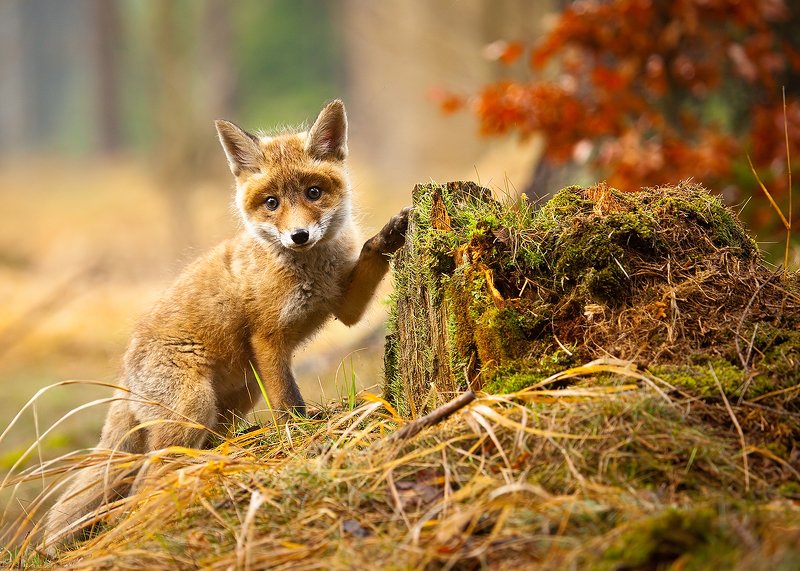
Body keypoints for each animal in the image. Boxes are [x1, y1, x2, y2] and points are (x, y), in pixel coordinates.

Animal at [41, 100, 410, 552]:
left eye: (313, 193)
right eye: (271, 202)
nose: (299, 235)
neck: (308, 269)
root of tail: (125, 377)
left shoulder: (344, 308)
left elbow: (370, 258)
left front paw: (389, 236)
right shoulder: (266, 339)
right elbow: (288, 403)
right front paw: (301, 434)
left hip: (232, 406)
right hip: (192, 408)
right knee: (142, 482)